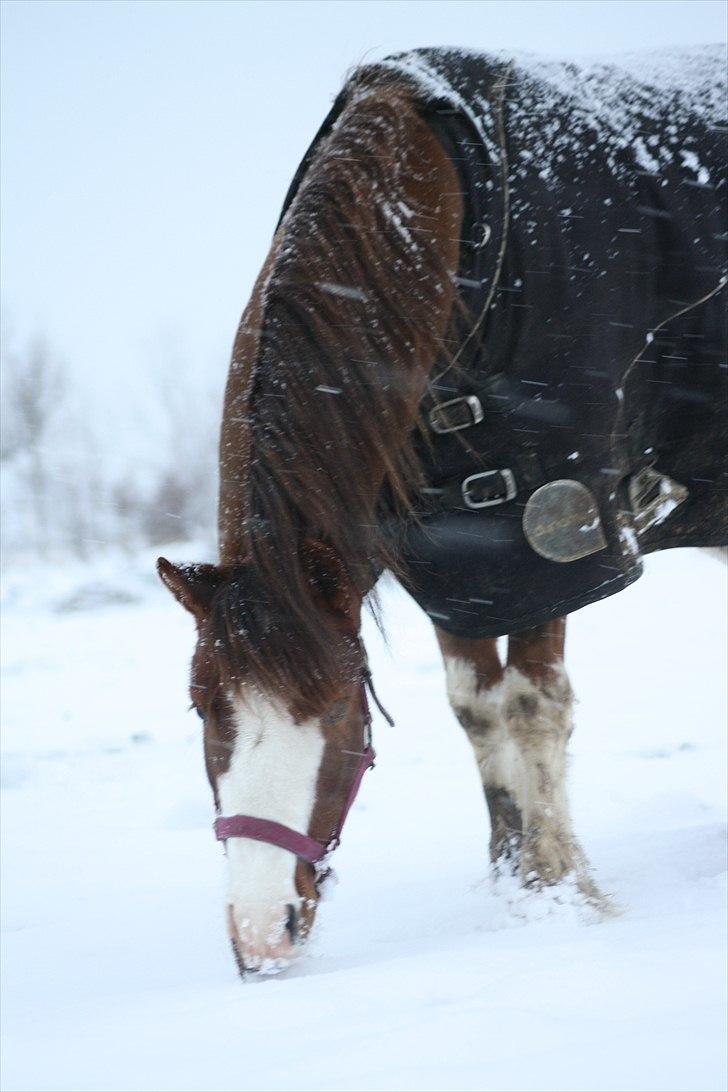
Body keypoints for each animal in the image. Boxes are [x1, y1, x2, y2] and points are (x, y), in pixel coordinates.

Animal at [158, 47, 727, 974]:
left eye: (337, 711)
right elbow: (475, 709)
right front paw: (511, 883)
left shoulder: (552, 543)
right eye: (204, 709)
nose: (261, 934)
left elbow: (533, 705)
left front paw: (566, 892)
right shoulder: (458, 565)